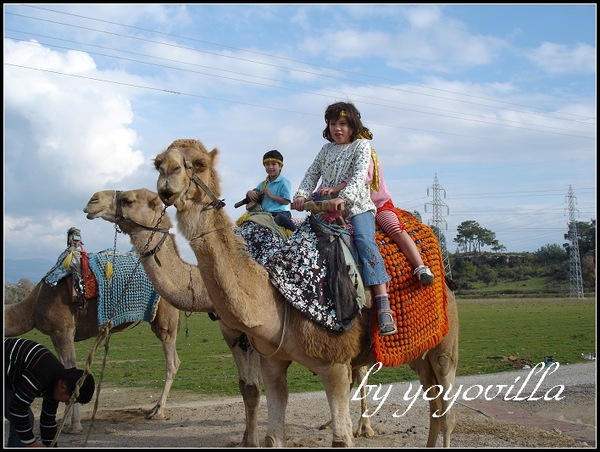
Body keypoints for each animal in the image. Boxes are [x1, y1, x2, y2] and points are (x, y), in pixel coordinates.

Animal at [2, 278, 180, 432]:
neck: (33, 306)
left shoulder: (63, 329)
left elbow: (71, 369)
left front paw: (74, 426)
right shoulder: (54, 334)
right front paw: (65, 422)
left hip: (165, 322)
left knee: (171, 362)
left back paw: (158, 413)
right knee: (176, 361)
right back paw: (153, 409)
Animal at [83, 188, 262, 448]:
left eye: (128, 200)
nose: (92, 201)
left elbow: (256, 388)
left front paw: (256, 440)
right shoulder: (230, 330)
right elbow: (246, 387)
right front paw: (246, 439)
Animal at [154, 139, 460, 448]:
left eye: (199, 163)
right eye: (158, 162)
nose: (167, 172)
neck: (279, 296)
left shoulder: (335, 363)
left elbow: (341, 440)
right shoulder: (272, 361)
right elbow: (272, 436)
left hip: (445, 347)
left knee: (446, 407)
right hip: (419, 353)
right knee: (433, 402)